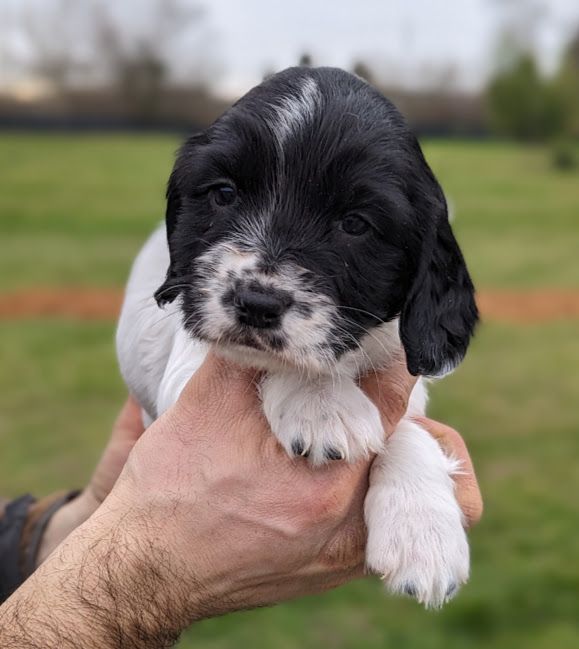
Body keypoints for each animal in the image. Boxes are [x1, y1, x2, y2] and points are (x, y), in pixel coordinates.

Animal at [116, 66, 479, 608]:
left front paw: (424, 533)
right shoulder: (184, 375)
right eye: (224, 194)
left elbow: (411, 430)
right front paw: (321, 402)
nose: (256, 301)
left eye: (355, 224)